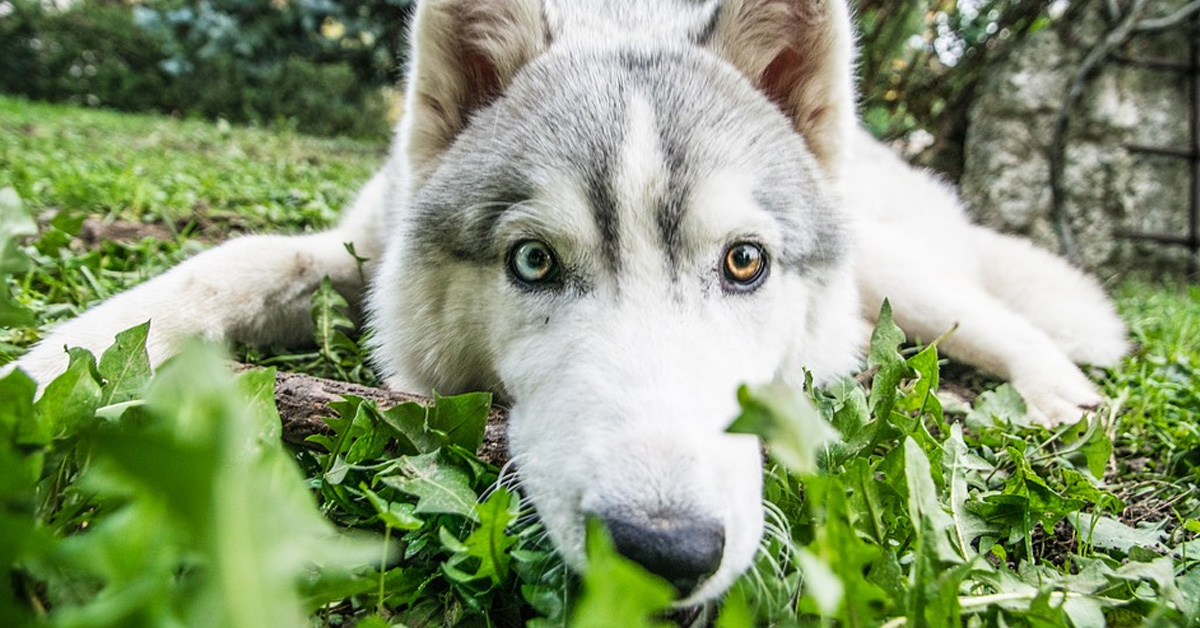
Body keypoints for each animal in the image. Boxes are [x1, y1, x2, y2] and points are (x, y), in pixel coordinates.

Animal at [14, 0, 1128, 605]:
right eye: (535, 263)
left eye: (744, 264)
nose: (664, 552)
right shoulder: (351, 248)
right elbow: (219, 267)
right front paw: (45, 367)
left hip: (902, 278)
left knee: (1012, 323)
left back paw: (1061, 404)